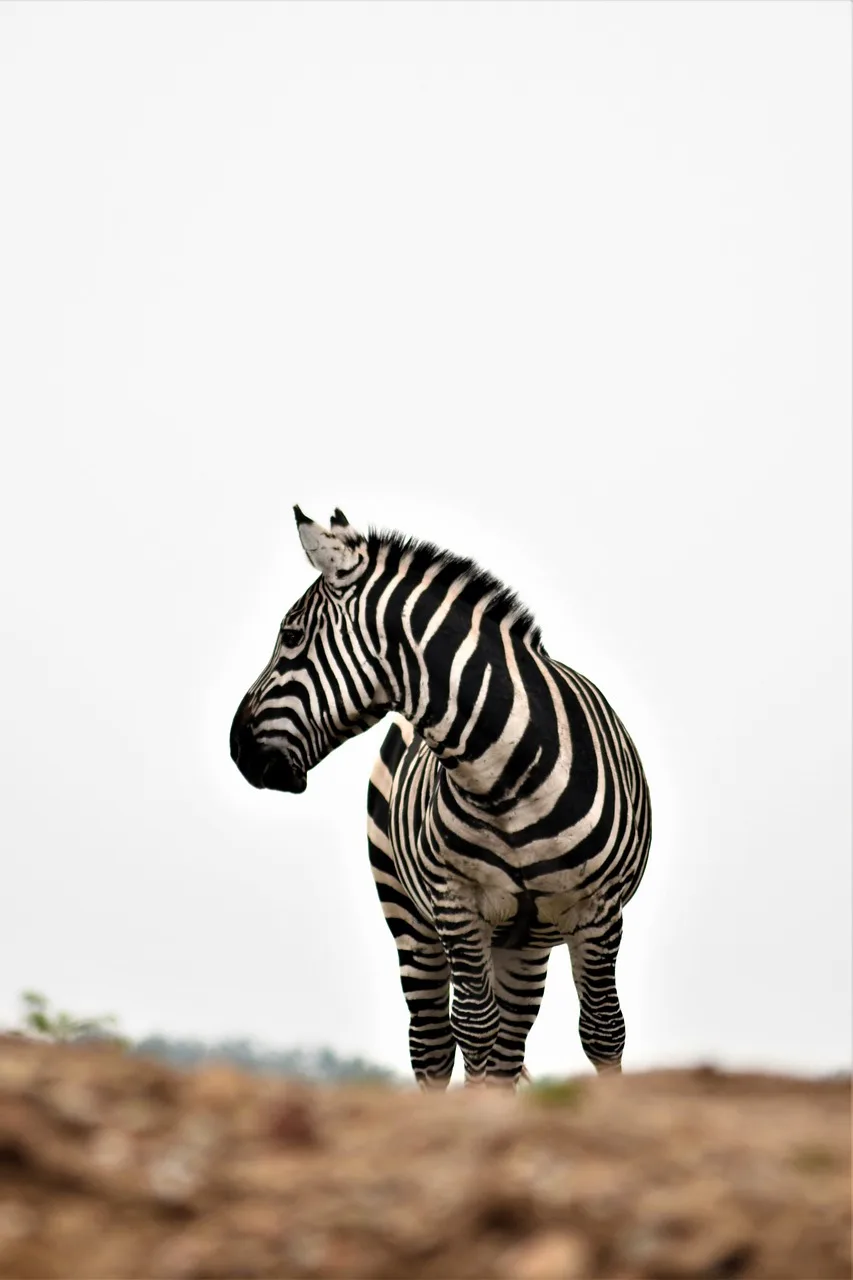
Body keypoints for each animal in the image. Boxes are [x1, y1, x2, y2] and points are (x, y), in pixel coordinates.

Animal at [230, 507, 651, 1088]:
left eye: (291, 636)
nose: (236, 748)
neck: (506, 776)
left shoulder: (600, 908)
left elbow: (604, 1030)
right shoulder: (457, 902)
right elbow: (472, 1029)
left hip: (526, 943)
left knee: (510, 1044)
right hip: (411, 920)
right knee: (434, 1042)